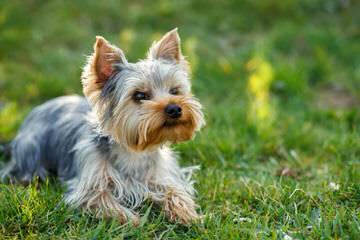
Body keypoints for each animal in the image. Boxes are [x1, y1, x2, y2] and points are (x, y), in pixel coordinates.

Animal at [0, 28, 205, 225]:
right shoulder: (88, 186)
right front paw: (132, 221)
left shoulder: (162, 175)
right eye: (139, 95)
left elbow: (174, 190)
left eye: (174, 91)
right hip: (31, 149)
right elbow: (101, 198)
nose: (174, 108)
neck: (134, 150)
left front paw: (188, 215)